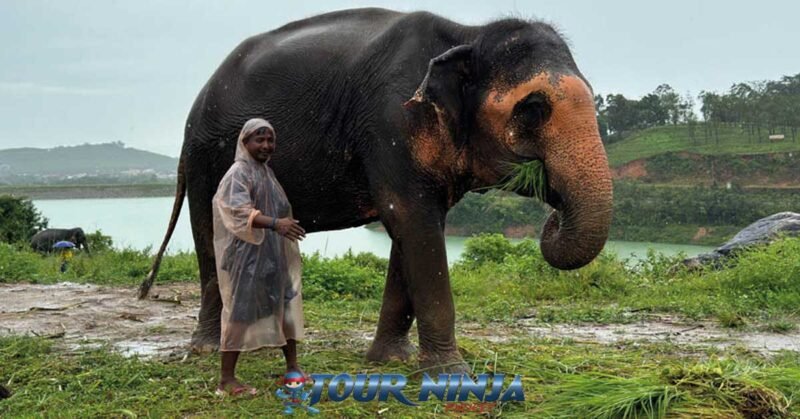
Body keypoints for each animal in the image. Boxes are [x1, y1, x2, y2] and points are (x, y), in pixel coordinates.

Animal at [140, 8, 613, 373]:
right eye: (533, 108)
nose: (552, 218)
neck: (467, 35)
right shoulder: (390, 124)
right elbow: (413, 222)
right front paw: (452, 373)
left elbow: (412, 233)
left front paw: (391, 361)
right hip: (207, 158)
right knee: (211, 234)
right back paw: (210, 348)